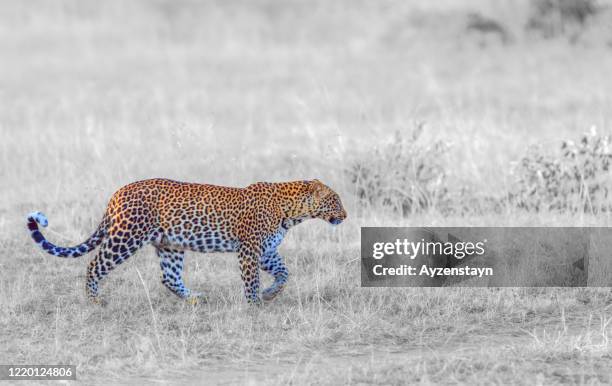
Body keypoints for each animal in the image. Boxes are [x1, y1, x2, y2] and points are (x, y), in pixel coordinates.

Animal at [26, 177, 346, 304]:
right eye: (334, 201)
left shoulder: (266, 250)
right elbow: (251, 279)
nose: (345, 215)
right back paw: (96, 301)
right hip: (127, 237)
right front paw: (255, 303)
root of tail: (118, 192)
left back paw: (193, 299)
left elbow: (284, 273)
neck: (291, 212)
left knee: (169, 277)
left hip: (169, 245)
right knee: (95, 265)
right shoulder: (249, 249)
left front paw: (270, 294)